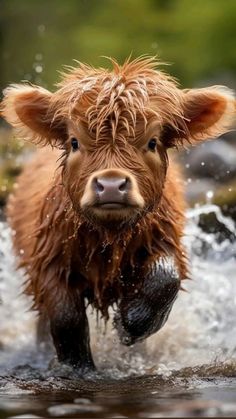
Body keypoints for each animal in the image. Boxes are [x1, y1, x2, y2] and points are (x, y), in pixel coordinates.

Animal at [1, 56, 234, 374]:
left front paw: (129, 323)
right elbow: (65, 317)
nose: (111, 184)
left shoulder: (165, 238)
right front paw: (79, 368)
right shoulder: (47, 261)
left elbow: (166, 278)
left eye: (152, 142)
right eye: (74, 142)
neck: (109, 240)